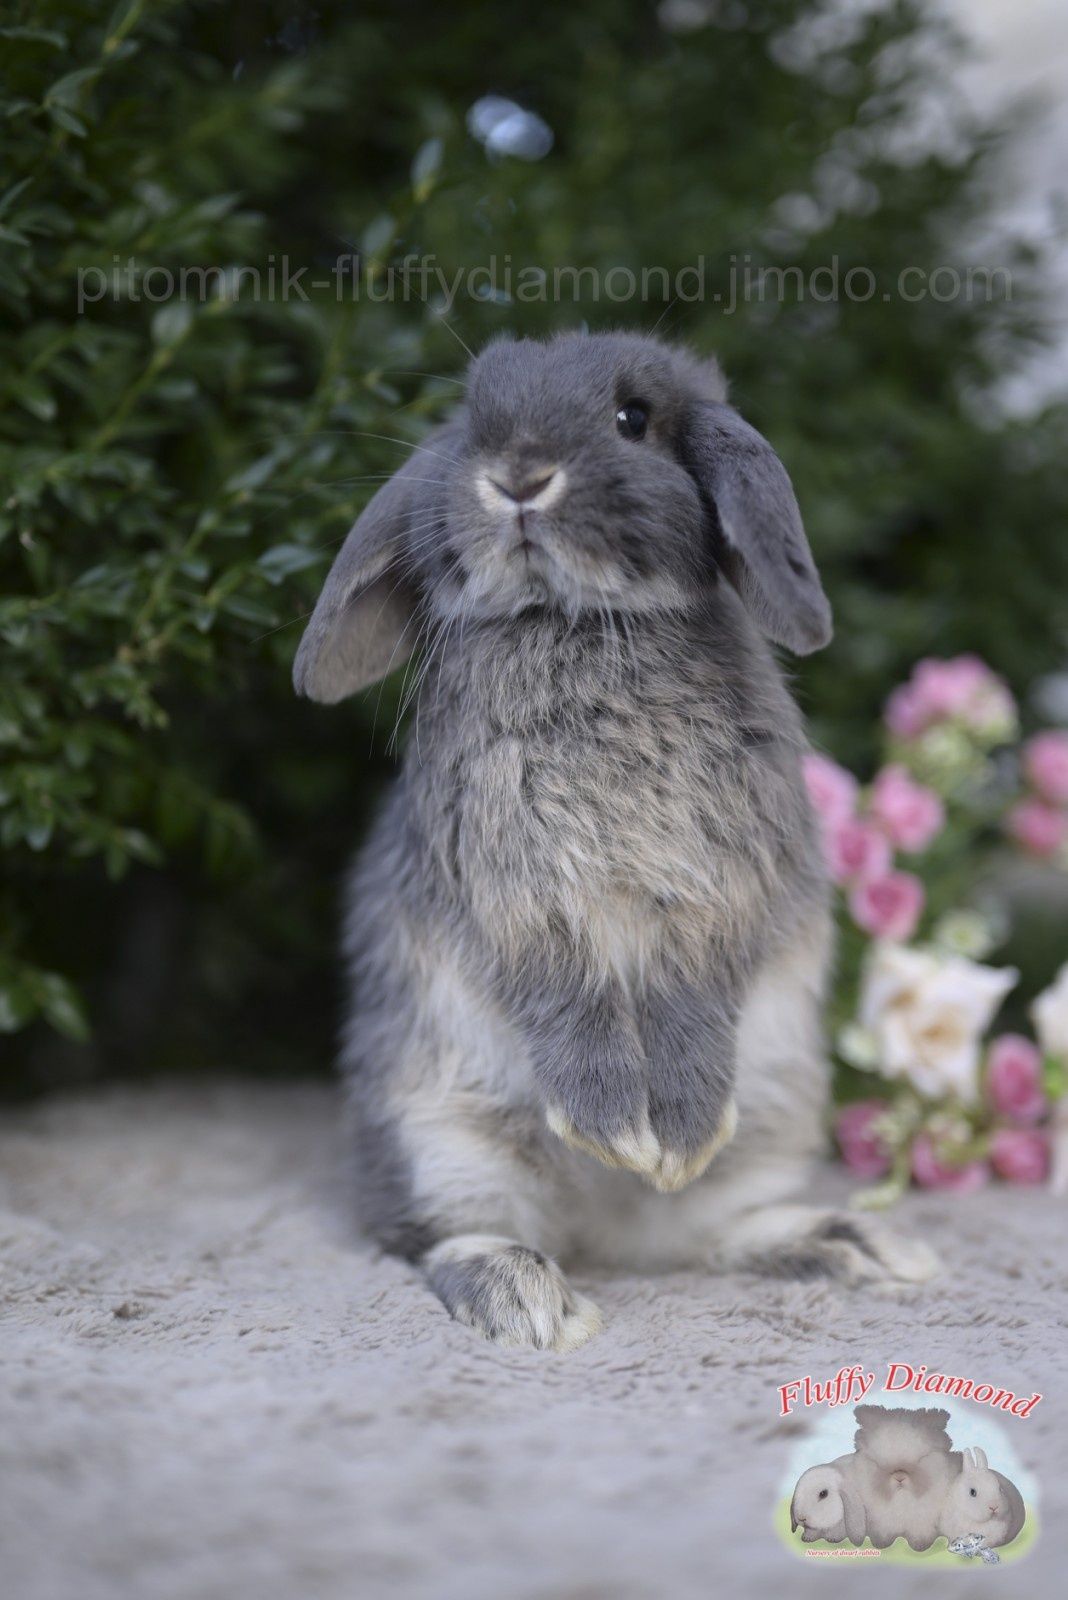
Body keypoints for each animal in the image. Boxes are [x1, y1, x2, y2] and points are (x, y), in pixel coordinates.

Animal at [292, 328, 933, 1350]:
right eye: (474, 417)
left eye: (634, 418)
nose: (518, 476)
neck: (574, 619)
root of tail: (611, 1233)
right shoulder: (515, 902)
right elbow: (569, 1005)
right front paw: (617, 1134)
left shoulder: (722, 897)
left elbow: (688, 1004)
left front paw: (671, 1139)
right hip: (435, 1130)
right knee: (444, 1234)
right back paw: (530, 1300)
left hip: (775, 1119)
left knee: (723, 1231)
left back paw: (863, 1247)